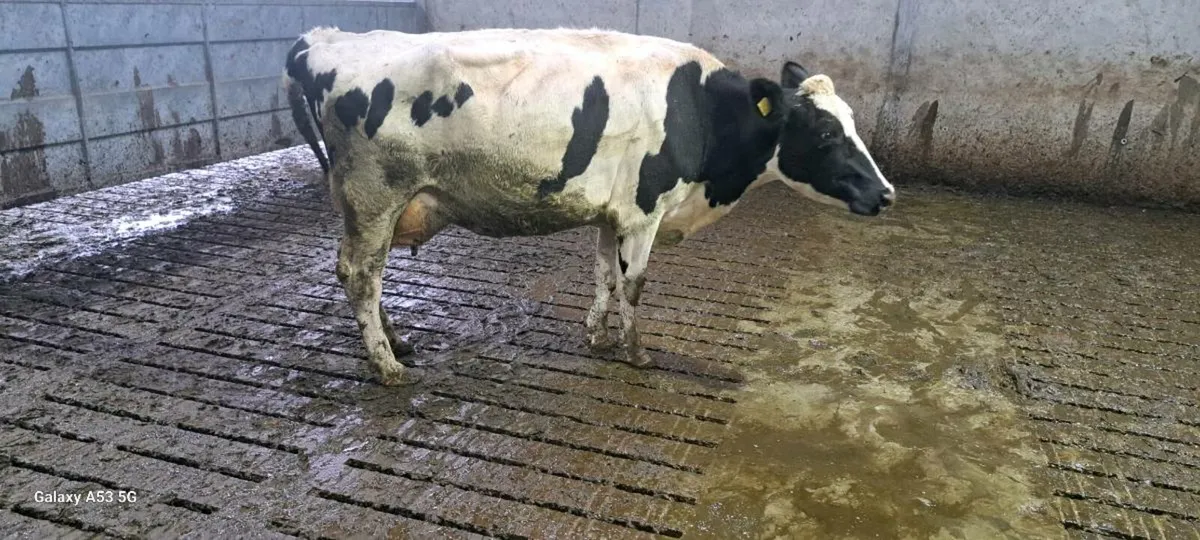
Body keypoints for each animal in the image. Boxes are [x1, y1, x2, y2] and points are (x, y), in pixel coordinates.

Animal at [283, 26, 895, 386]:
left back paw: (399, 343)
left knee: (361, 272)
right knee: (362, 274)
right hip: (374, 195)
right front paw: (636, 352)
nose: (886, 193)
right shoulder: (645, 211)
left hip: (364, 203)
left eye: (851, 122)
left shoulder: (612, 211)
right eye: (824, 134)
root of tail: (323, 39)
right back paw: (387, 365)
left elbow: (604, 273)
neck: (699, 111)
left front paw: (596, 336)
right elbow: (635, 283)